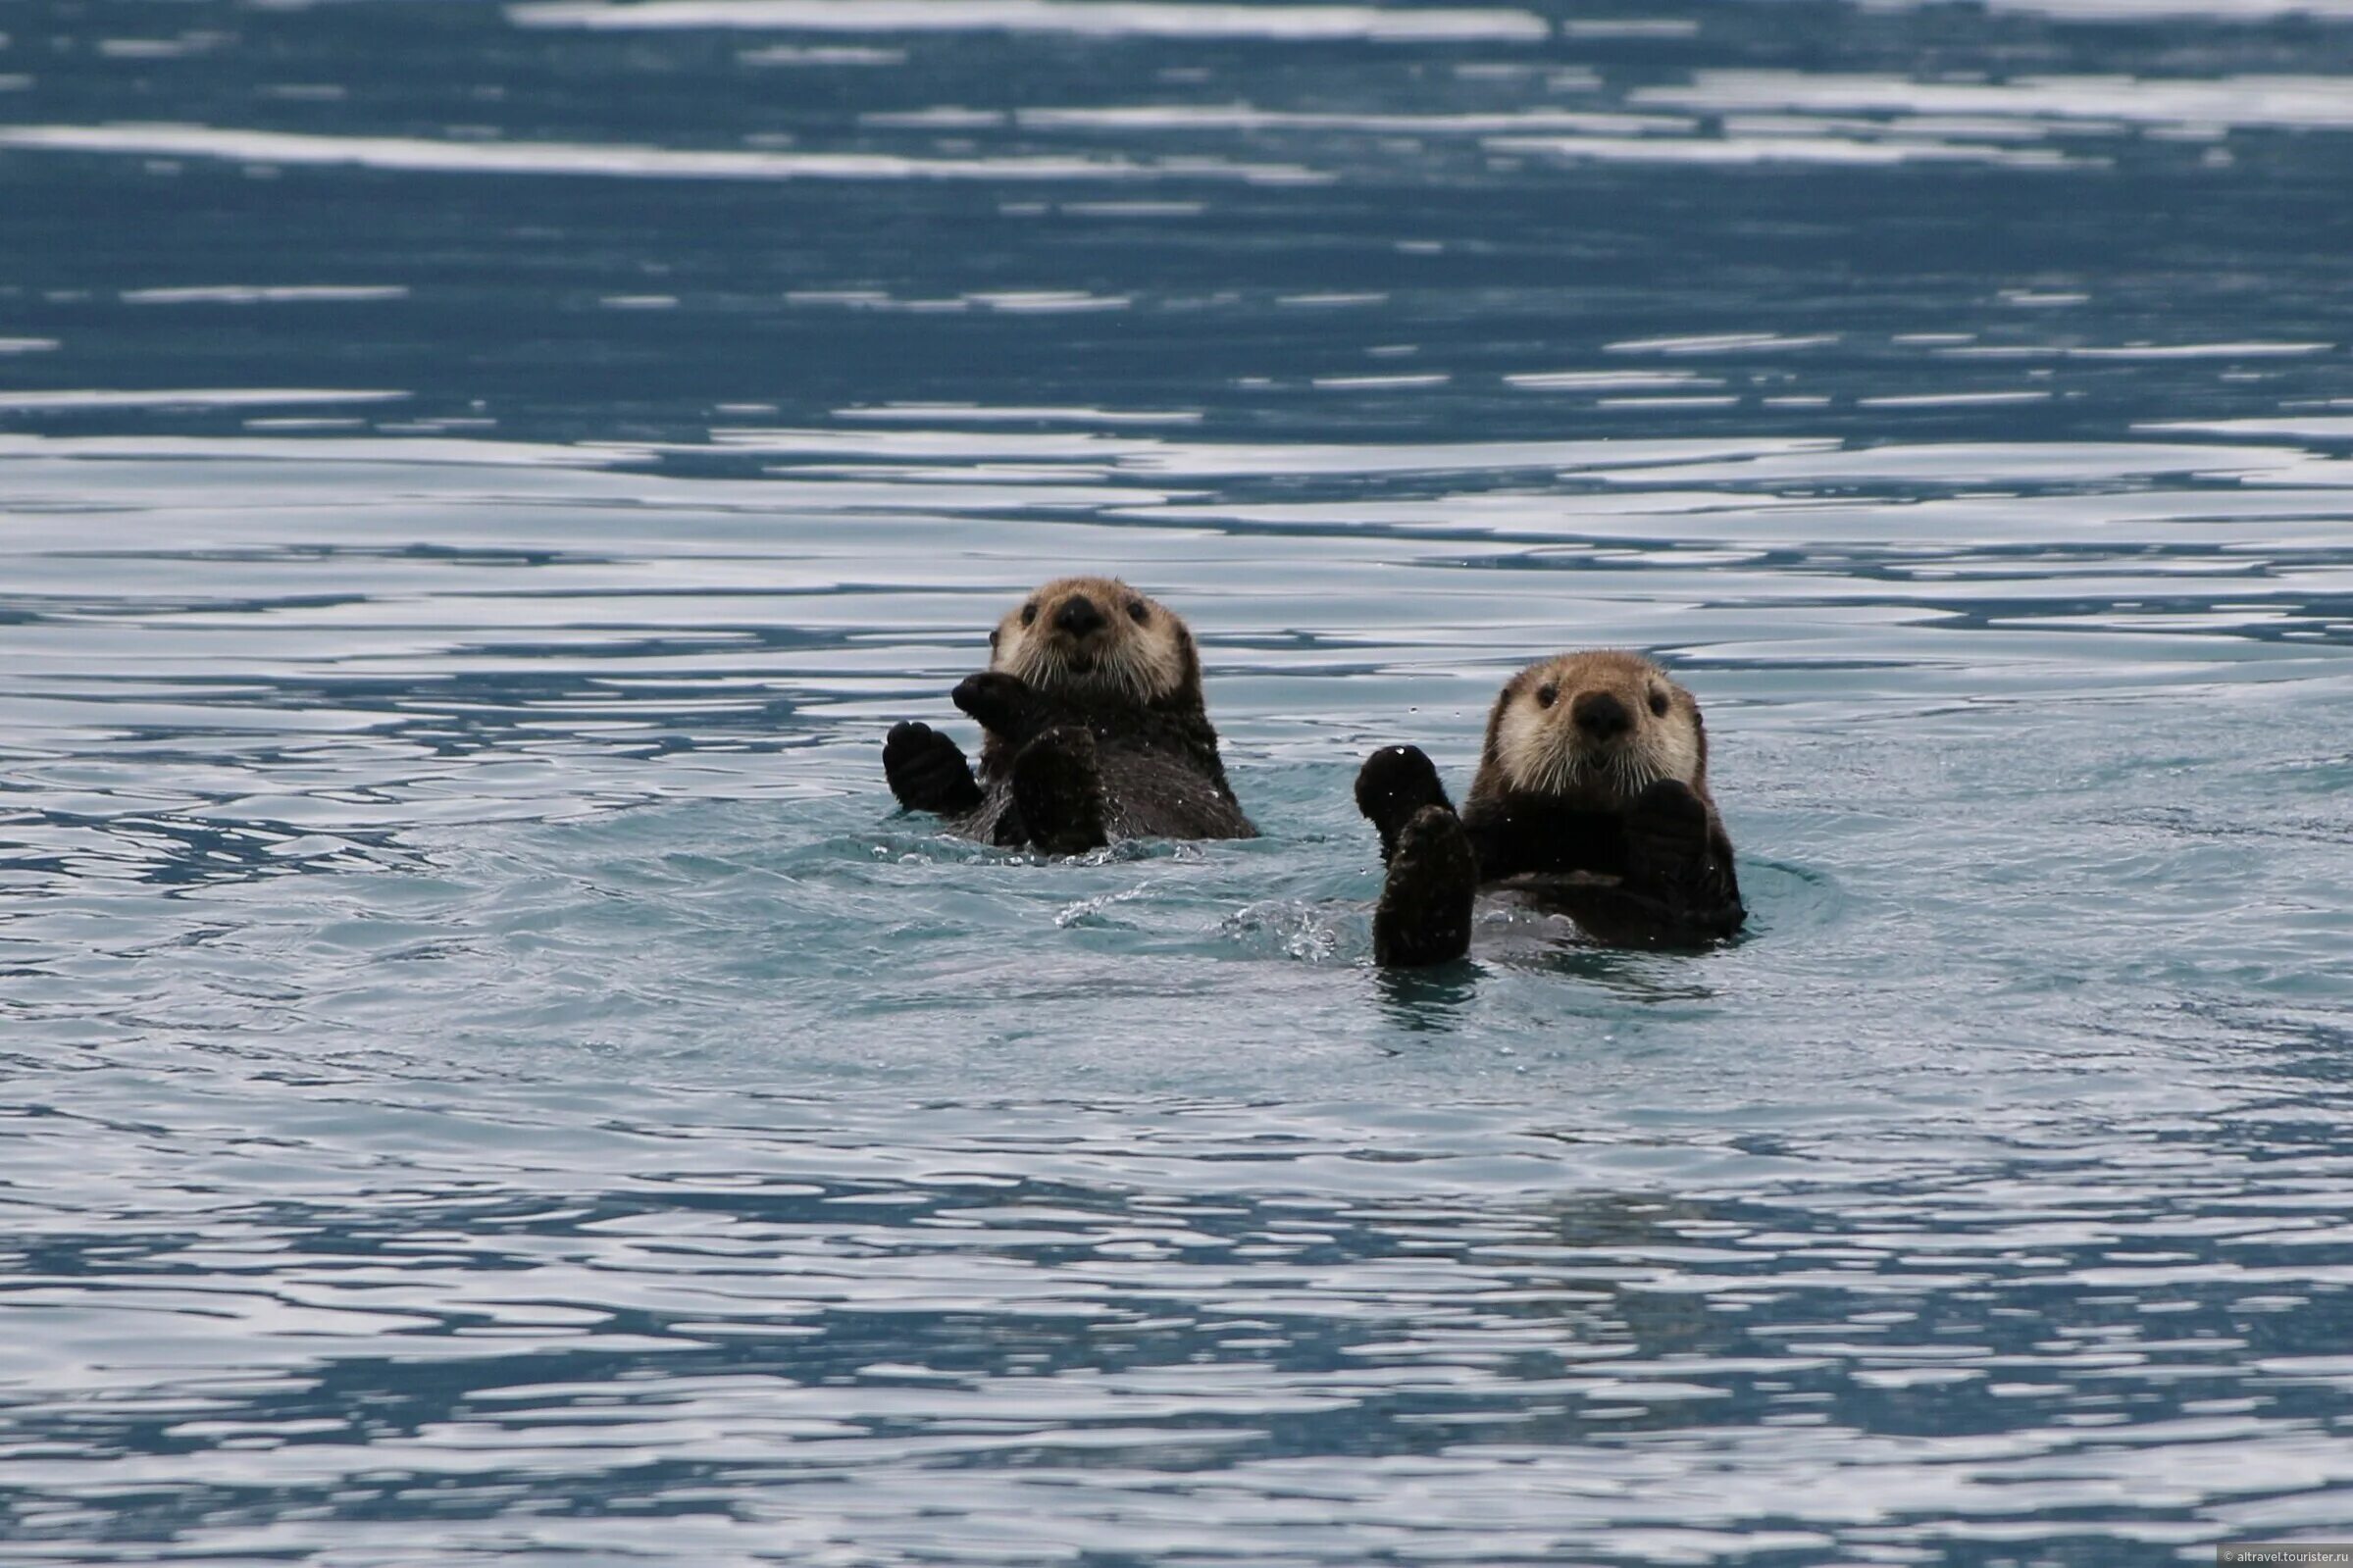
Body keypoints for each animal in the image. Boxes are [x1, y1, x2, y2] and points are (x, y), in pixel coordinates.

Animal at [885, 576, 1252, 850]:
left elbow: (1047, 713)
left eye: (1136, 610)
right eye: (1029, 613)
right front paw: (916, 748)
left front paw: (988, 691)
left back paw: (1055, 764)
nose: (1078, 611)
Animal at [1355, 648, 1741, 968]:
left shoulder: (1713, 901)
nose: (1603, 709)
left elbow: (1701, 890)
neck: (1575, 839)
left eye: (1658, 702)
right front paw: (1396, 770)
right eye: (1547, 695)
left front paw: (1667, 809)